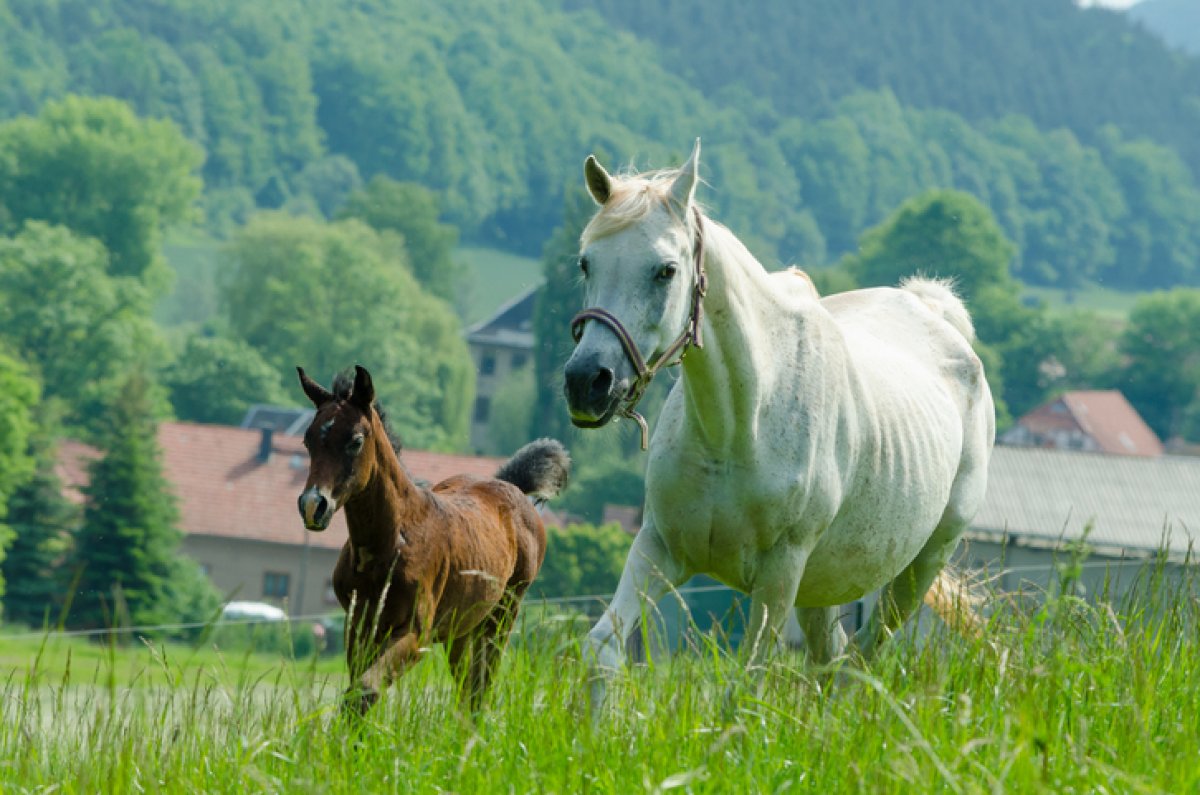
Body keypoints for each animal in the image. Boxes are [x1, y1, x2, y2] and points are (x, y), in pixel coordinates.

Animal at [294, 365, 566, 710]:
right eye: (308, 440)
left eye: (355, 441)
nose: (313, 505)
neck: (391, 543)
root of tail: (510, 486)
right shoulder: (358, 626)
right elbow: (357, 690)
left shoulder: (416, 634)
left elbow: (366, 689)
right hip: (461, 629)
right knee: (467, 692)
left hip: (501, 617)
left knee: (480, 691)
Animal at [561, 139, 993, 706]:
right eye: (587, 263)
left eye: (665, 270)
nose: (588, 382)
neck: (739, 427)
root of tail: (936, 317)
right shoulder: (660, 548)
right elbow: (602, 651)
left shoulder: (780, 573)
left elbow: (746, 685)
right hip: (823, 586)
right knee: (833, 661)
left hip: (916, 570)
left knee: (860, 664)